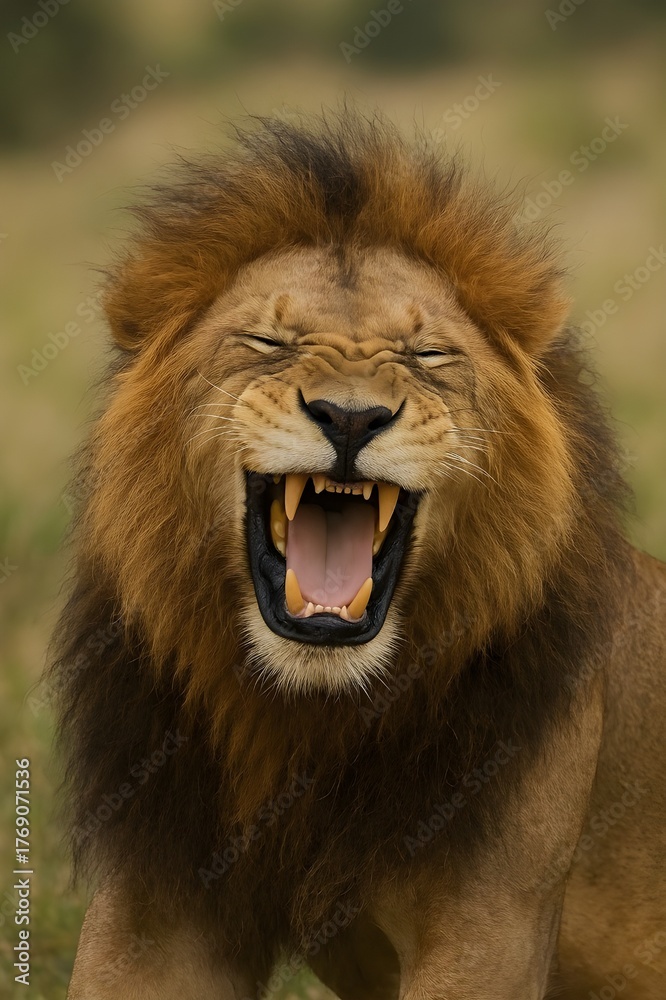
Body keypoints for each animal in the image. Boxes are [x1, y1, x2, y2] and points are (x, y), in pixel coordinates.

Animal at [51, 113, 666, 1000]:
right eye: (267, 341)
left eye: (427, 356)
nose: (348, 417)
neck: (305, 717)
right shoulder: (153, 907)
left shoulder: (490, 920)